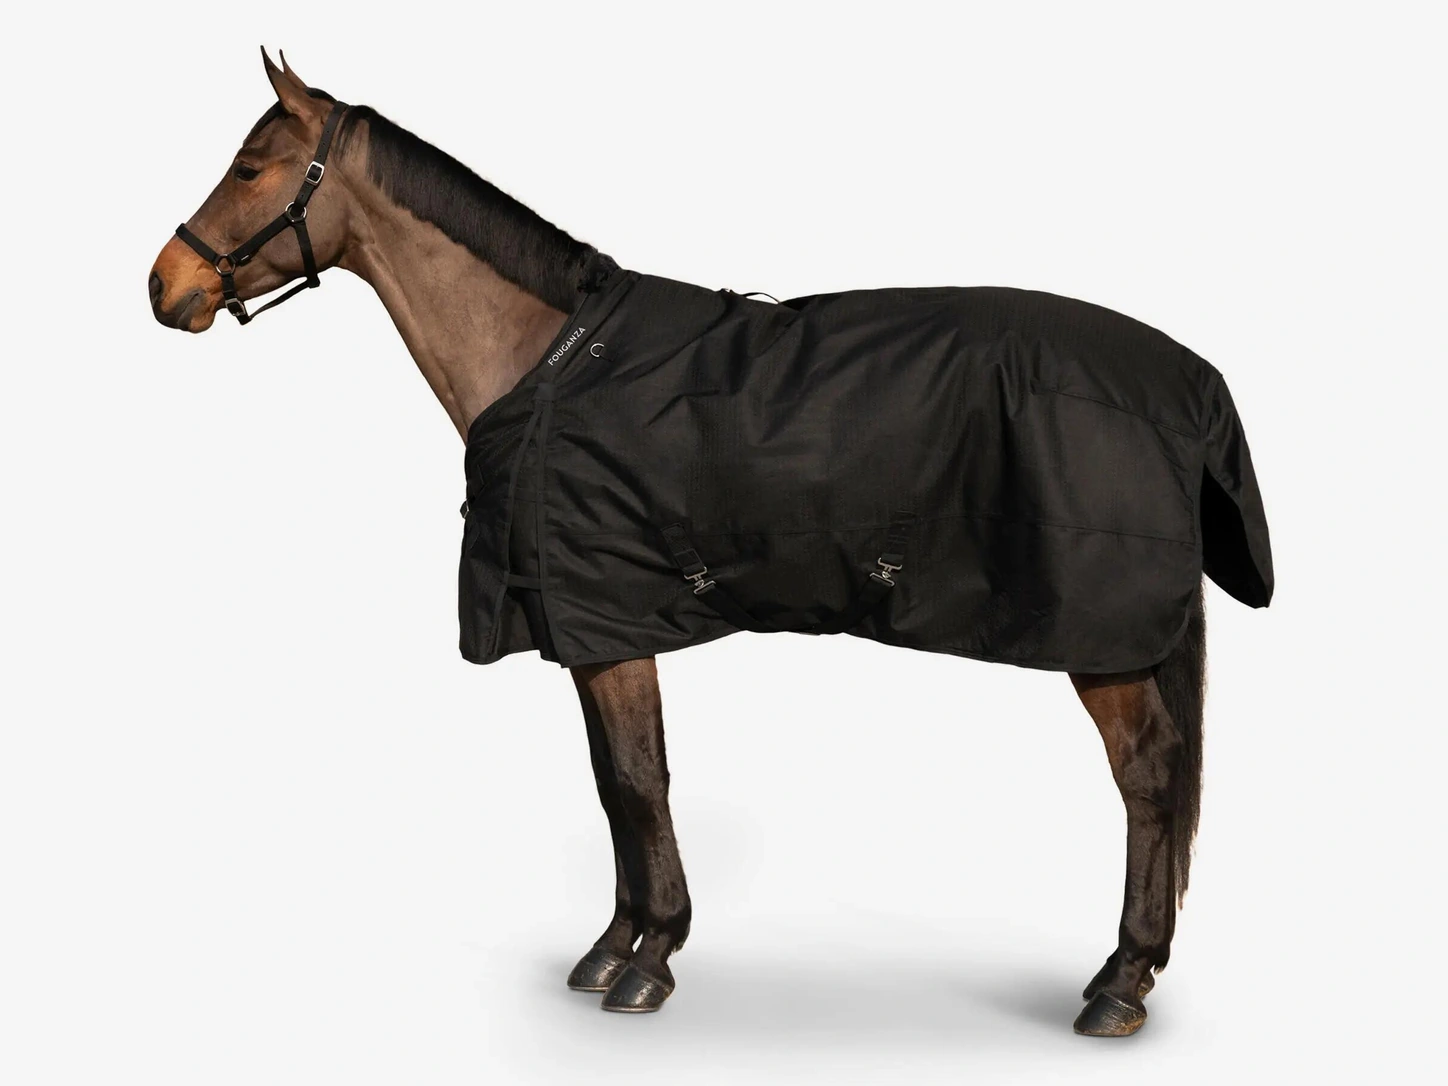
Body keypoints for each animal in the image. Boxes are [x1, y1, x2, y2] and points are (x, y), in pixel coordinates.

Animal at [148, 50, 1272, 1037]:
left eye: (249, 169)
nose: (164, 286)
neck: (548, 359)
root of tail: (1189, 381)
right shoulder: (587, 629)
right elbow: (613, 786)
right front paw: (614, 947)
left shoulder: (614, 622)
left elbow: (640, 782)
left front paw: (648, 963)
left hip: (1102, 641)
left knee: (1147, 776)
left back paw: (1119, 984)